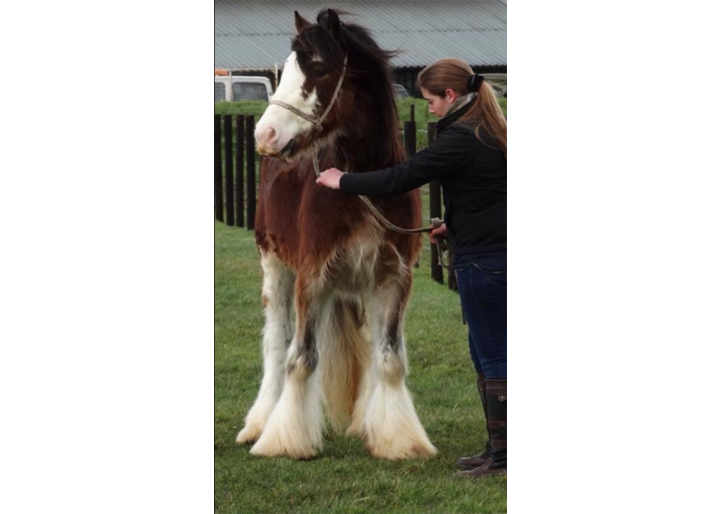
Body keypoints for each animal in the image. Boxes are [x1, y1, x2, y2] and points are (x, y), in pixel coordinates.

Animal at [236, 8, 436, 458]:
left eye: (318, 69)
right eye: (287, 67)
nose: (265, 136)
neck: (361, 184)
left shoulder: (393, 278)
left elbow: (389, 359)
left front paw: (398, 439)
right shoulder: (312, 277)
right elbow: (300, 359)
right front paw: (285, 440)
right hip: (275, 267)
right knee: (276, 343)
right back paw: (260, 422)